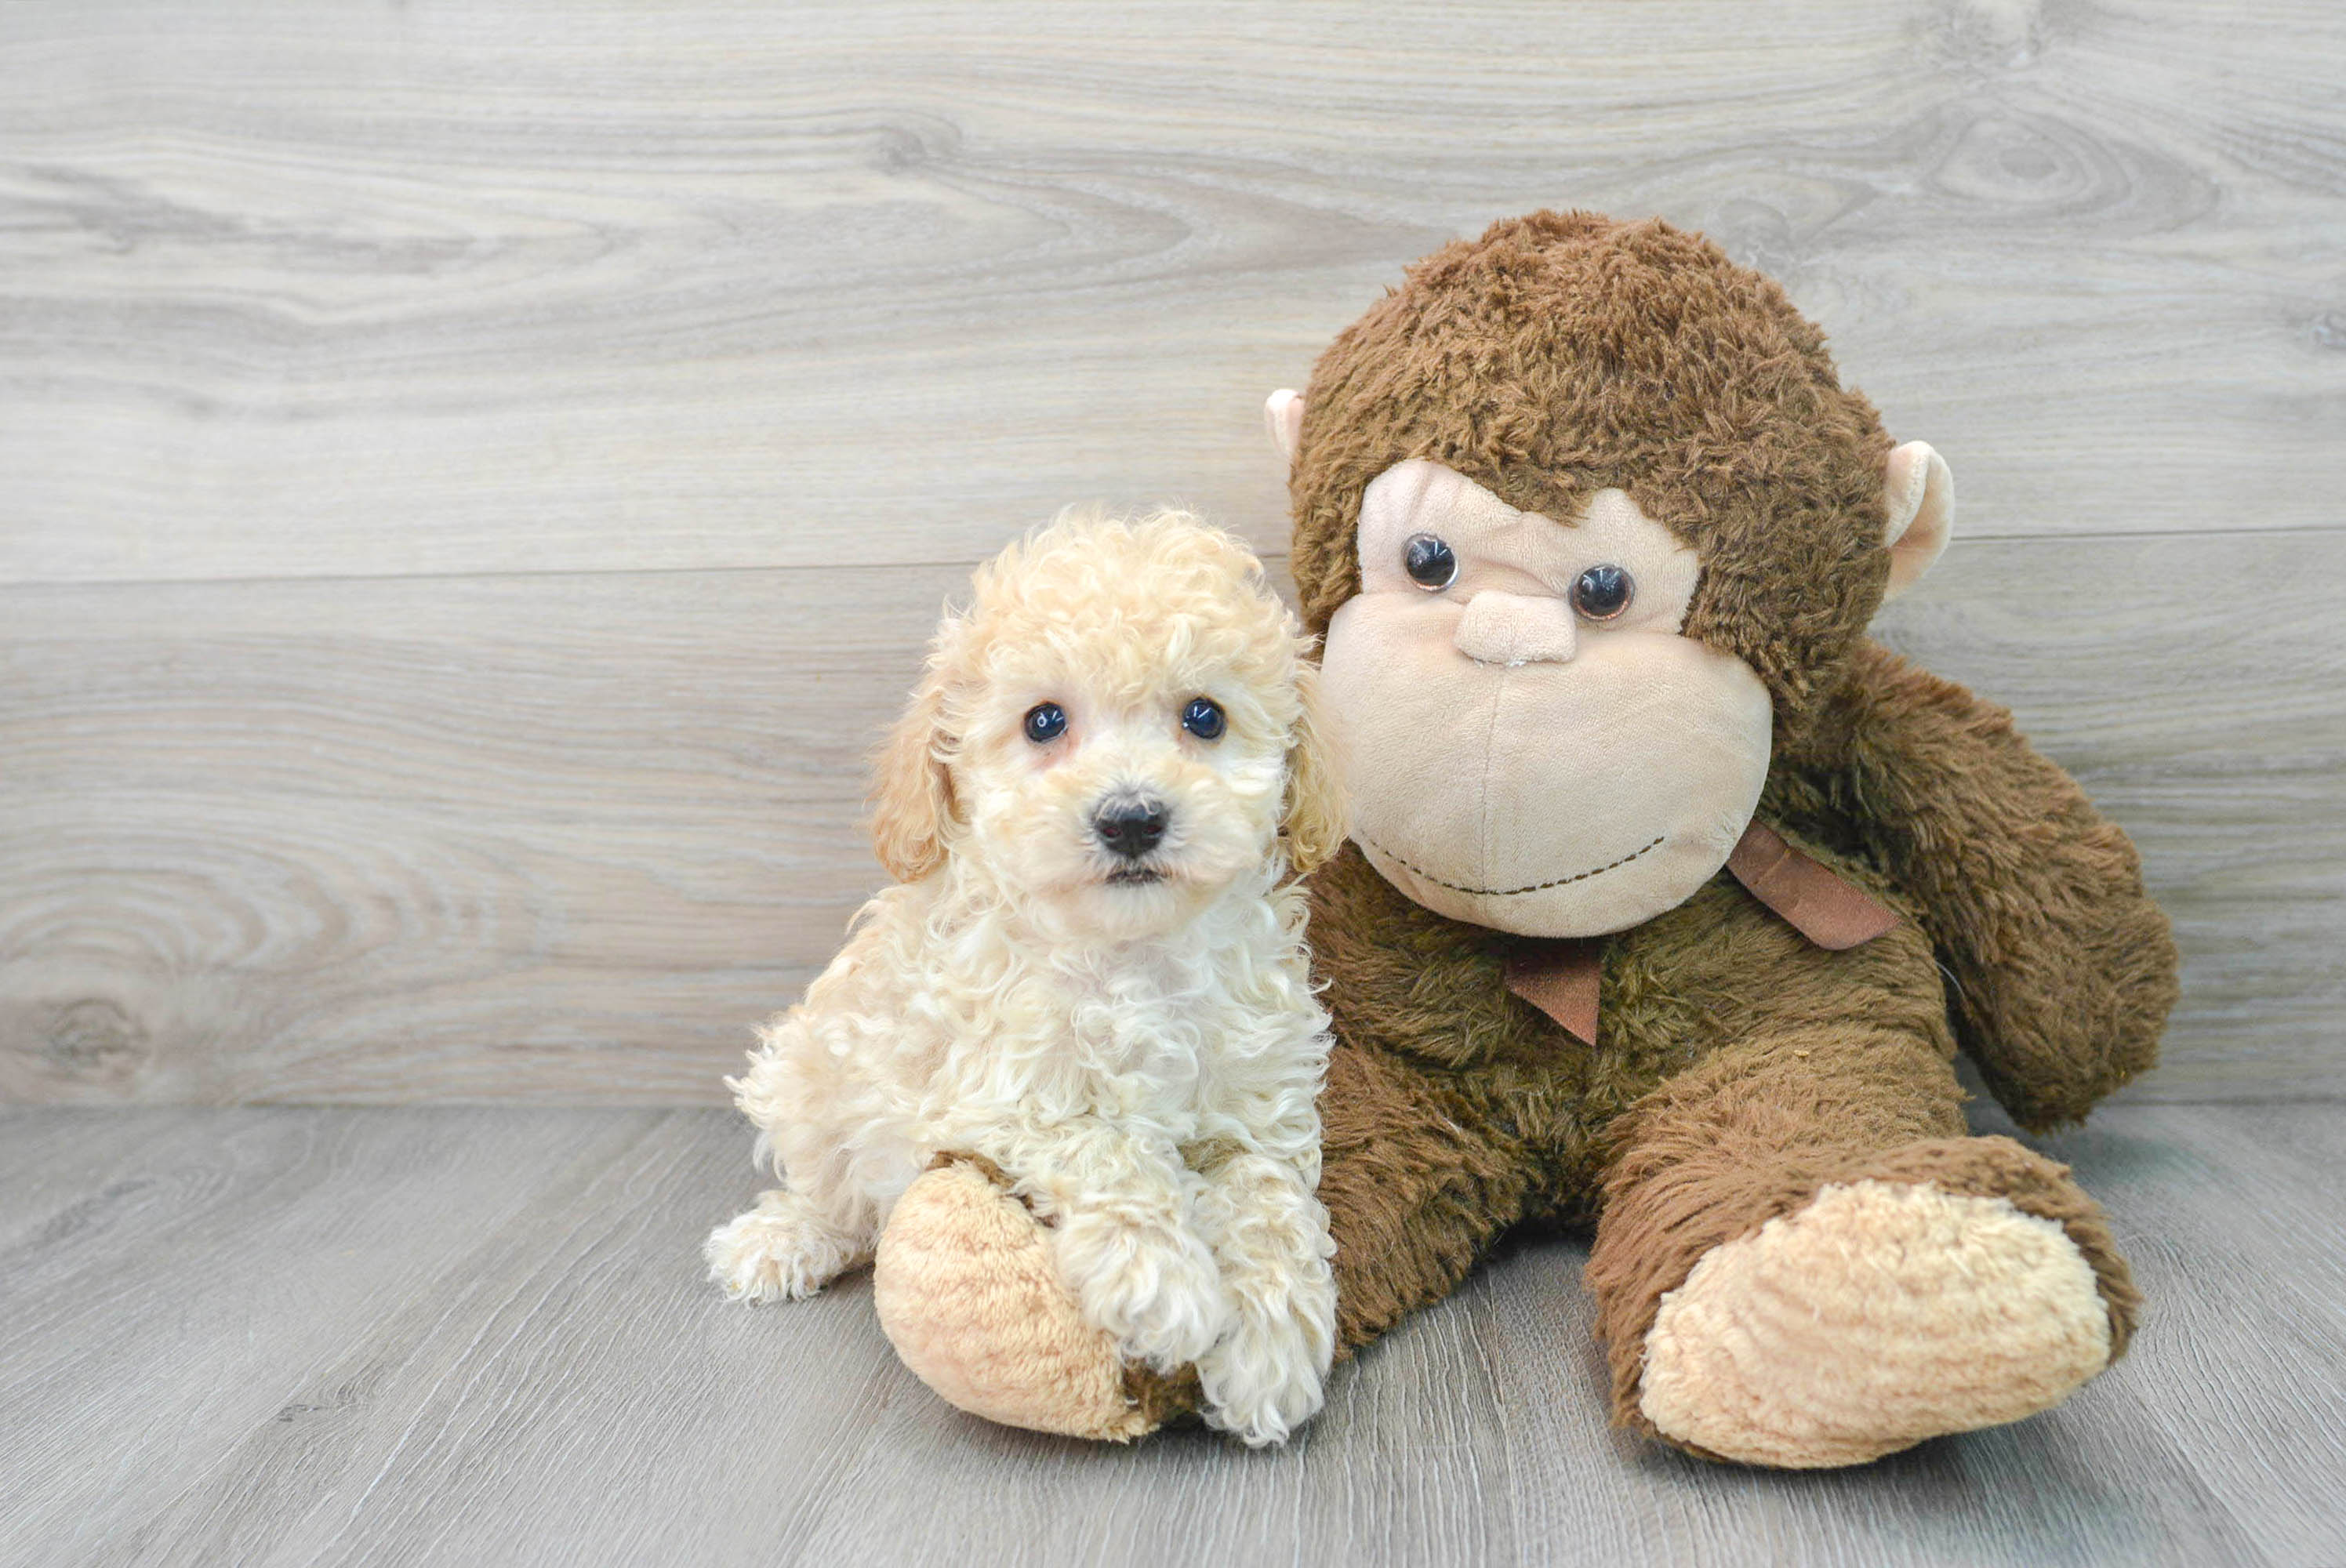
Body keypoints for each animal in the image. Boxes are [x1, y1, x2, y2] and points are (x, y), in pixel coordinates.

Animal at [703, 514, 1351, 1446]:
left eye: (1205, 716)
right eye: (1044, 721)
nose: (1131, 818)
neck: (1130, 958)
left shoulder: (1253, 1110)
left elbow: (1268, 1197)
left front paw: (1272, 1344)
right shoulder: (993, 1096)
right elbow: (1106, 1145)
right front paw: (1166, 1281)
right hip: (811, 1072)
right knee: (835, 1191)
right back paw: (784, 1238)